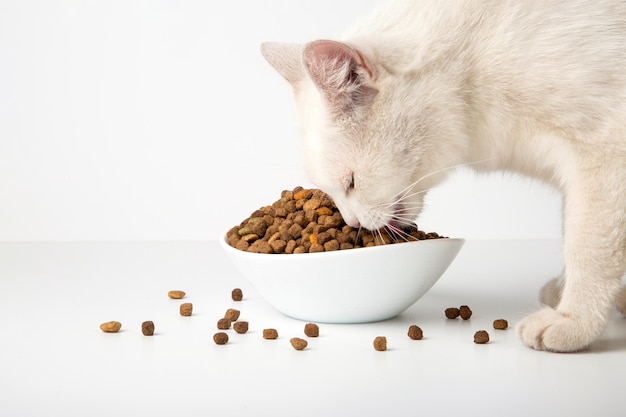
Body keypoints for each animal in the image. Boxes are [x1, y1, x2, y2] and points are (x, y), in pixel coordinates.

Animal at [260, 0, 624, 352]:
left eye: (350, 183)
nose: (351, 222)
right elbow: (570, 230)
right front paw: (567, 295)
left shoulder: (605, 149)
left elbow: (586, 247)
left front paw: (574, 319)